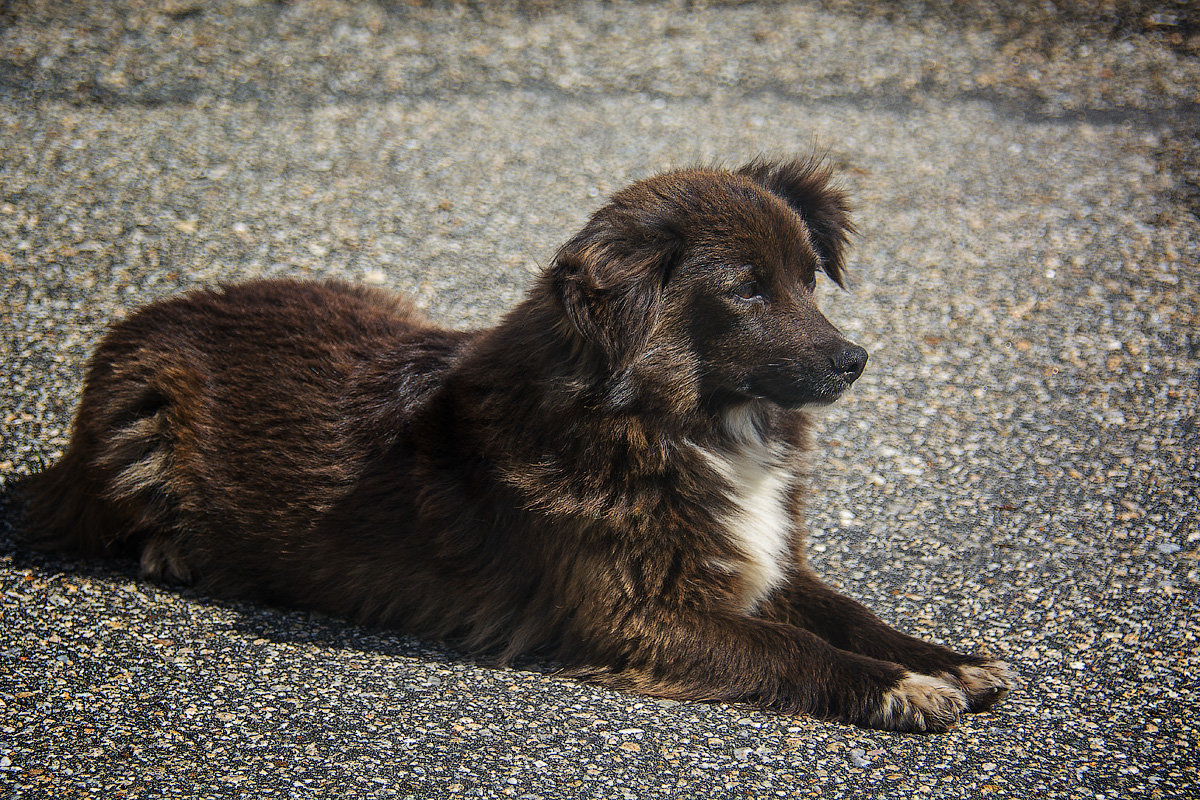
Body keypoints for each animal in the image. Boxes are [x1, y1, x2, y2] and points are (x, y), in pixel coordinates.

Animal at [21, 155, 1012, 734]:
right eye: (745, 291)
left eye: (809, 278)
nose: (855, 361)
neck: (672, 423)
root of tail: (168, 305)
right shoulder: (638, 616)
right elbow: (793, 650)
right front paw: (900, 686)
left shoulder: (767, 563)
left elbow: (851, 614)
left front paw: (943, 657)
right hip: (138, 412)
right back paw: (170, 548)